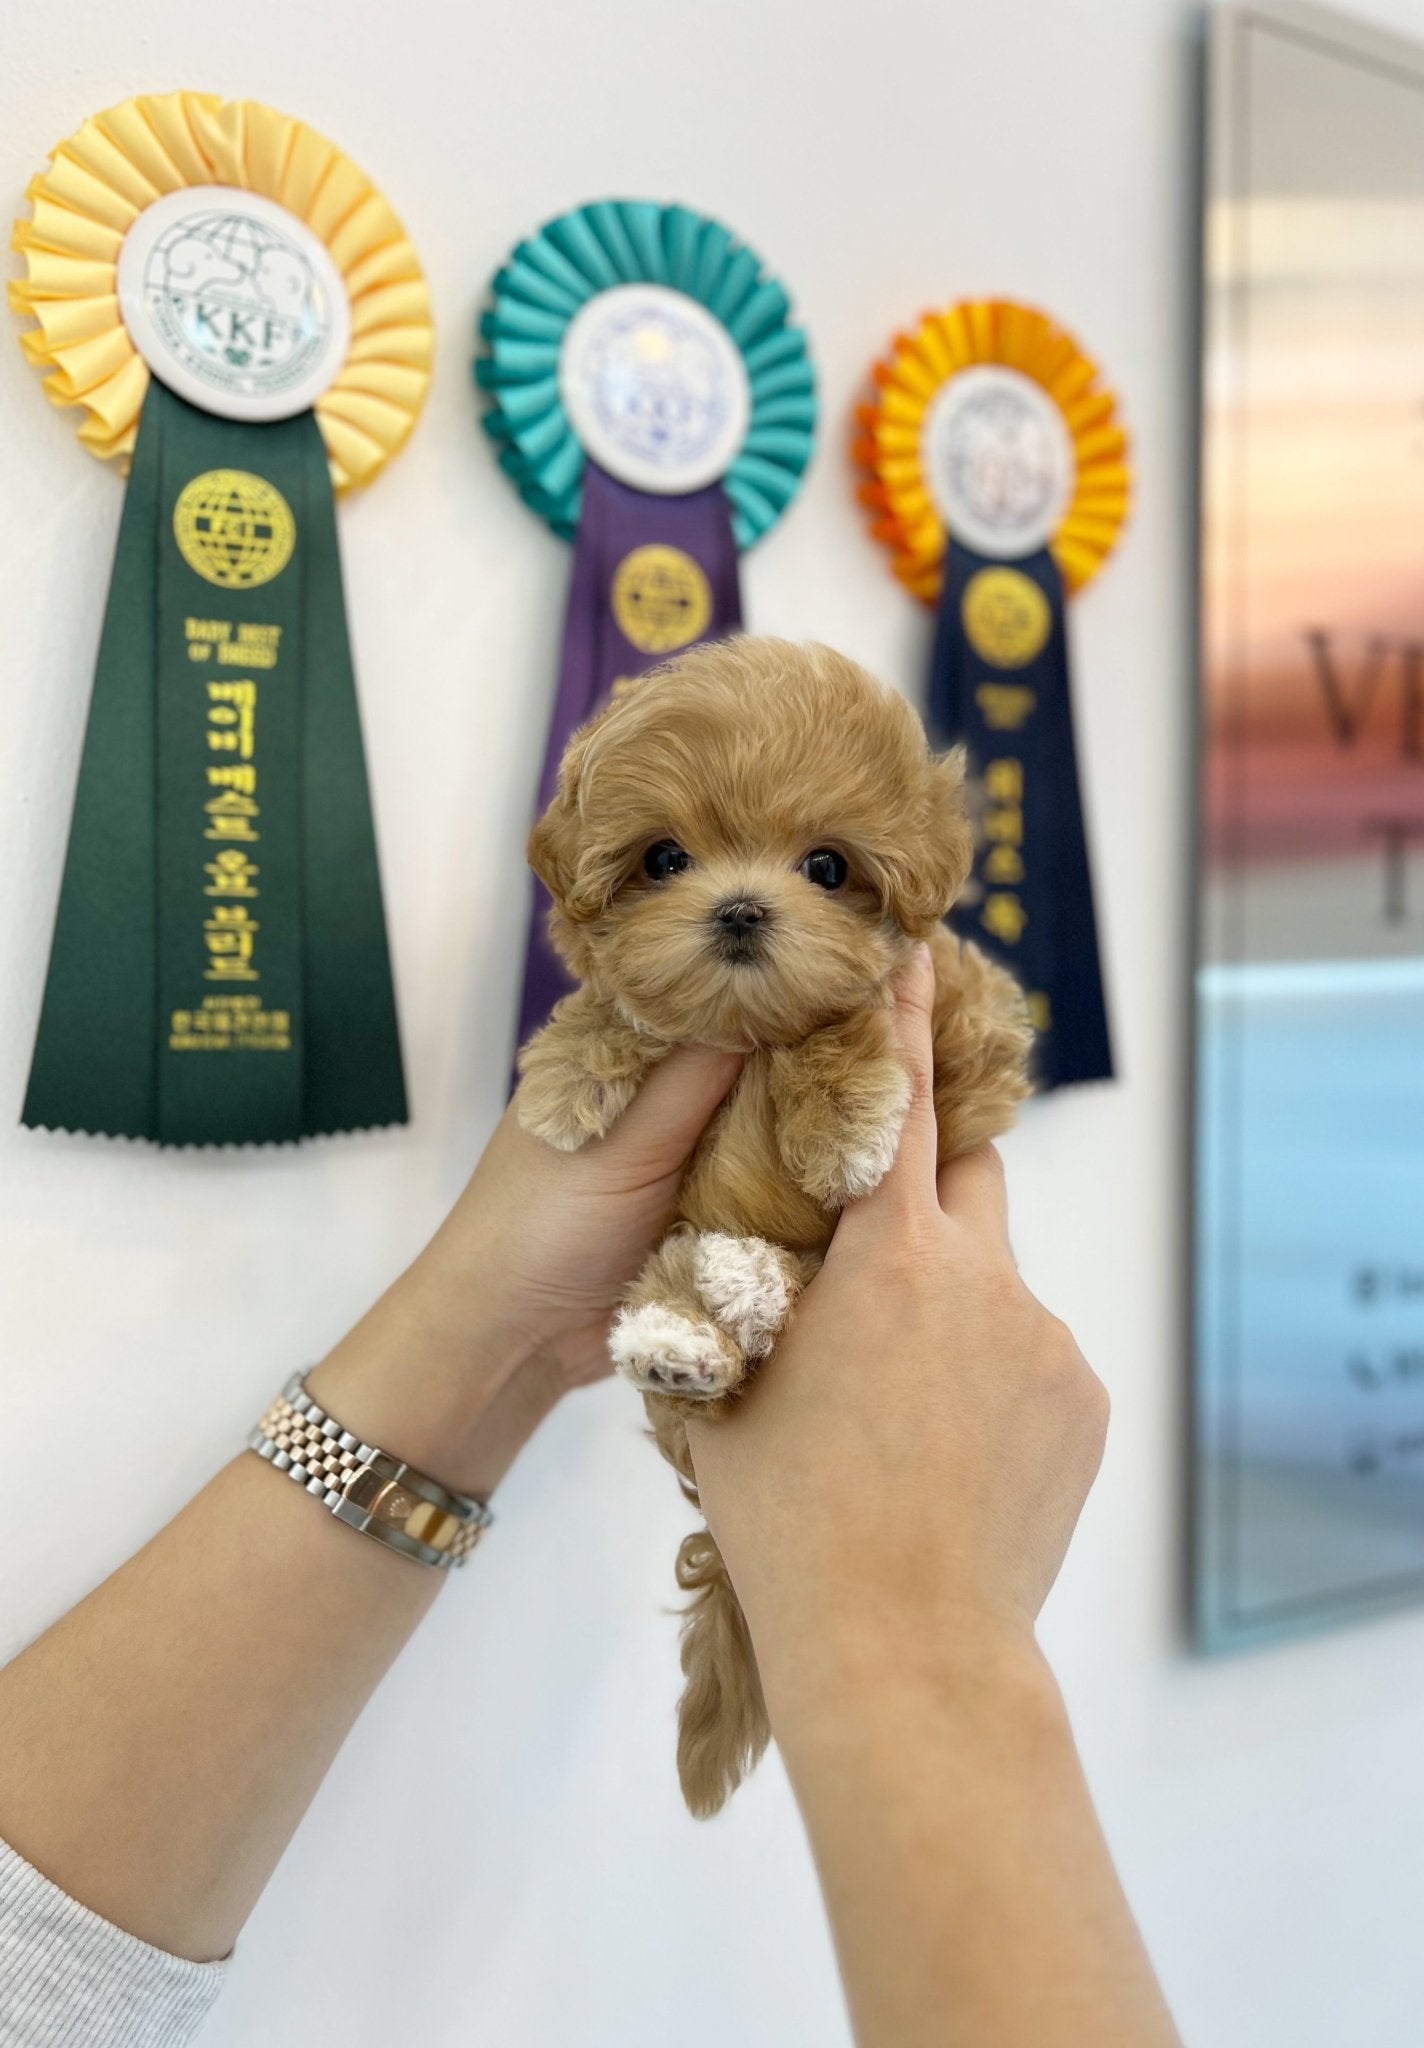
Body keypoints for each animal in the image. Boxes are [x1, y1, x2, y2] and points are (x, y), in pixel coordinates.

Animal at [518, 634, 1028, 1810]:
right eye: (664, 859)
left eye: (828, 868)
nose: (742, 909)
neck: (745, 1032)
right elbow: (617, 1007)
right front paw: (568, 1072)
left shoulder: (964, 1030)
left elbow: (847, 1015)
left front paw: (842, 1120)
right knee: (685, 1324)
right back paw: (682, 1336)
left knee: (775, 1290)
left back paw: (738, 1289)